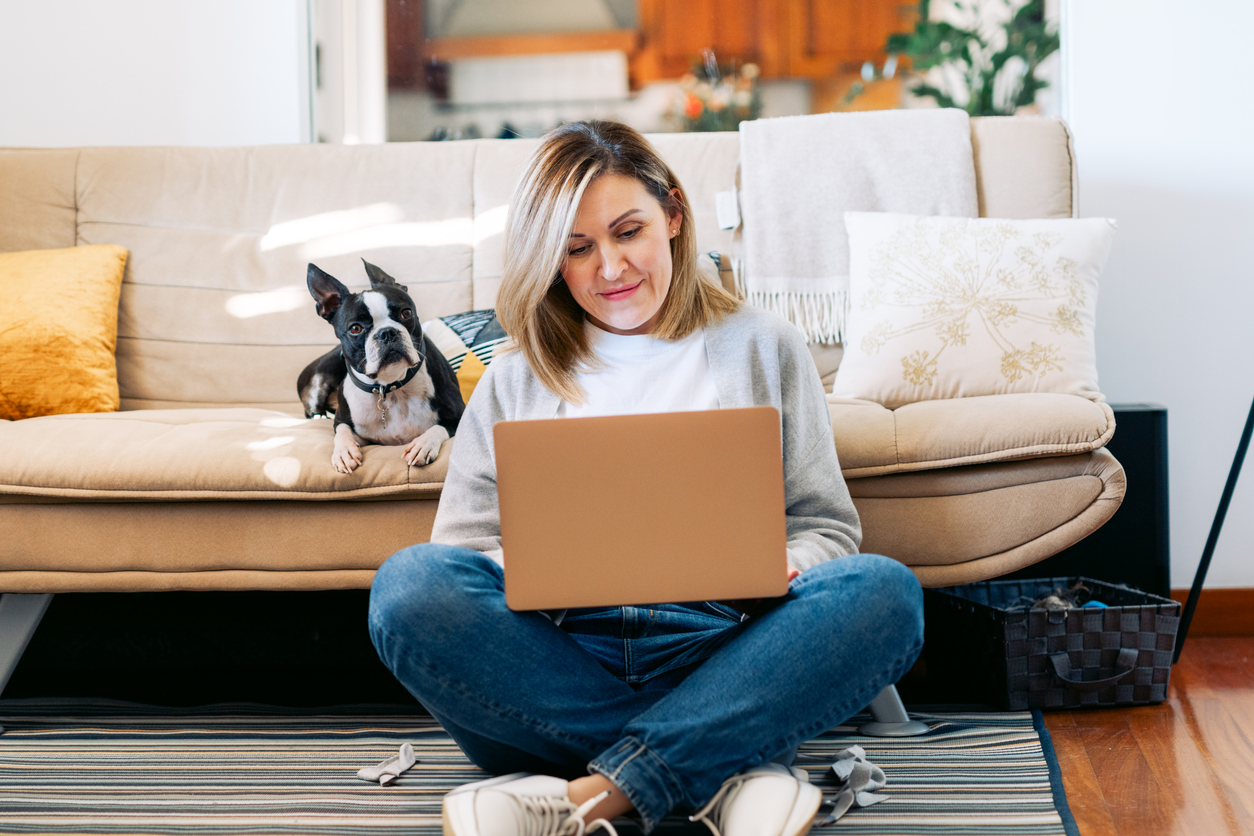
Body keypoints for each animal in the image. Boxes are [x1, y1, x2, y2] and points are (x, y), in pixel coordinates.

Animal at [298, 258, 466, 473]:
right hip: (319, 380)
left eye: (406, 313)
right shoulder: (346, 422)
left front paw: (422, 445)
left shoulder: (459, 414)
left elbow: (438, 427)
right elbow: (342, 430)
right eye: (355, 328)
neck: (390, 387)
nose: (387, 332)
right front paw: (344, 452)